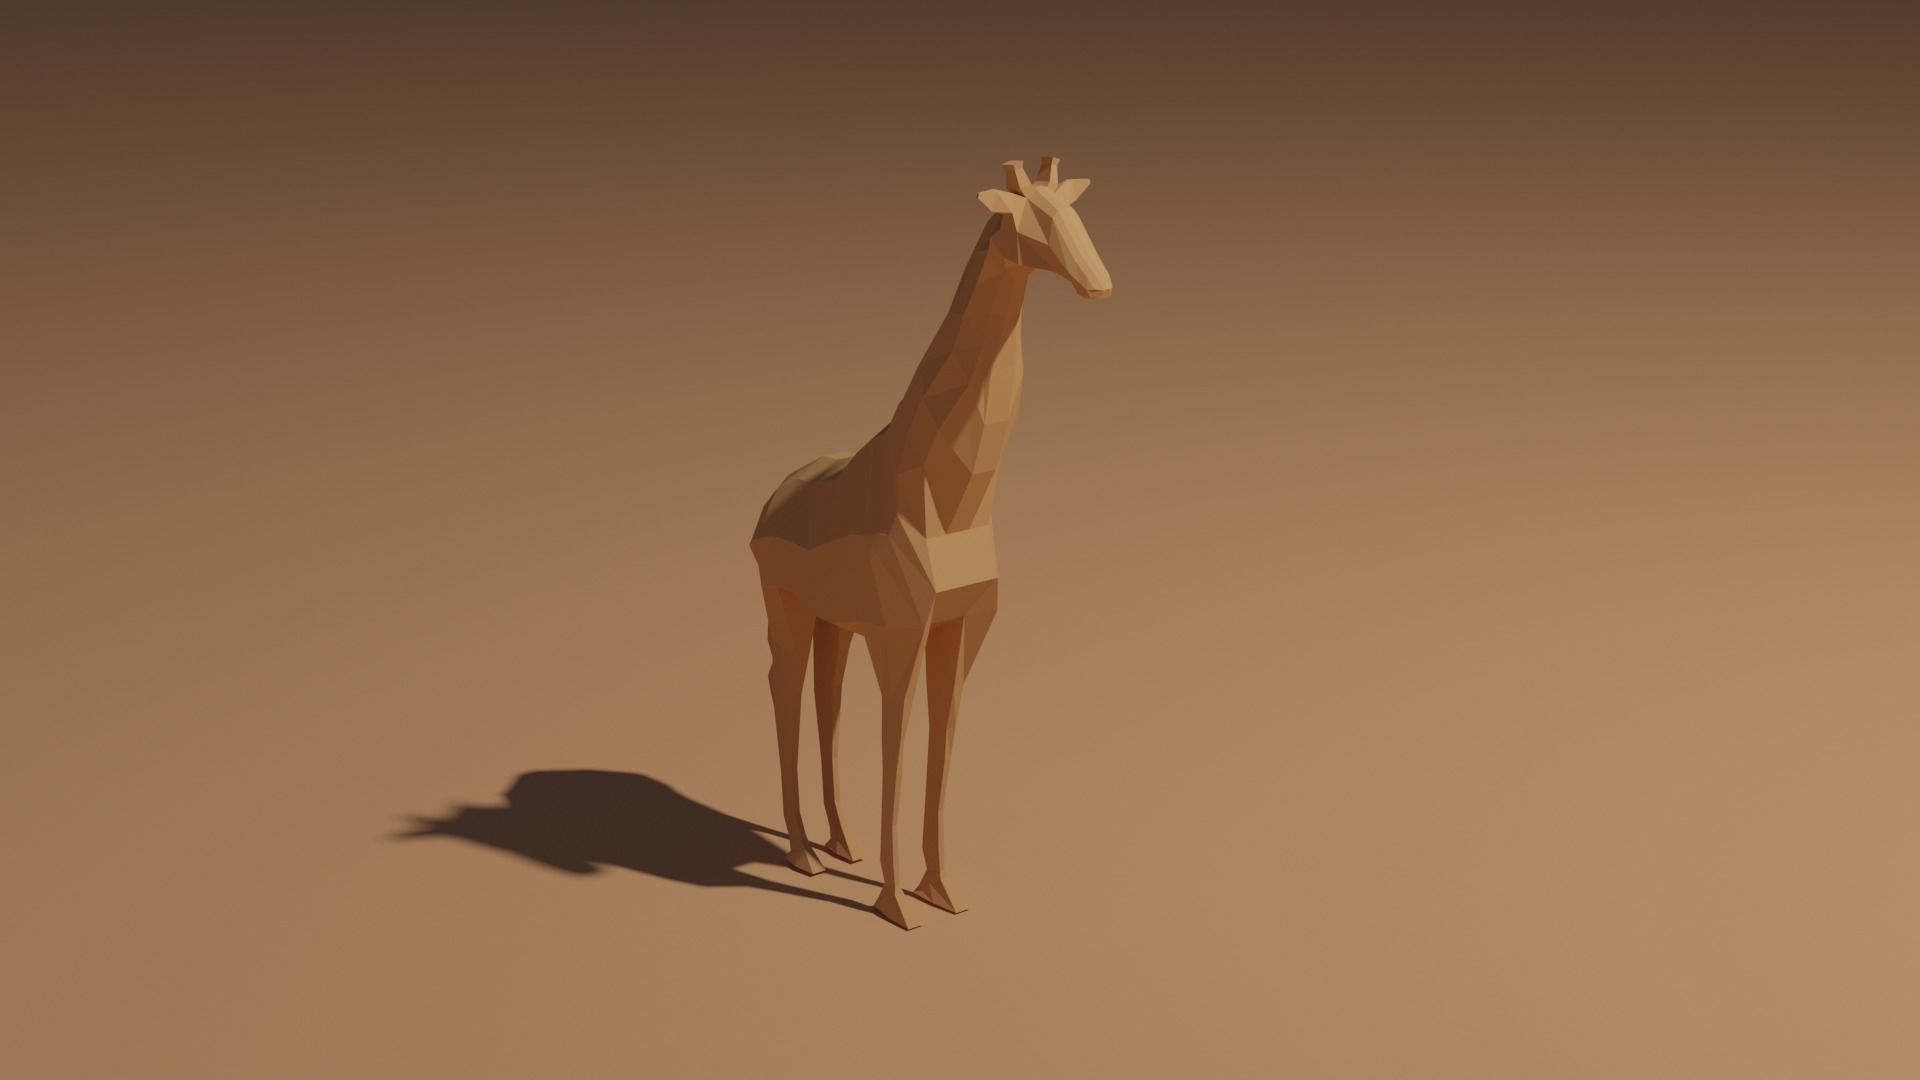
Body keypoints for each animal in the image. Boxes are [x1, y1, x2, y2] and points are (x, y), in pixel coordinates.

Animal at [749, 156, 1112, 930]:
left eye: (1074, 214)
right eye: (1029, 219)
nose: (1098, 281)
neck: (951, 505)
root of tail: (766, 507)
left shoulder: (958, 631)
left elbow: (938, 752)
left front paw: (940, 889)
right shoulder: (900, 634)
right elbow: (898, 744)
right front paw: (895, 904)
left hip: (834, 621)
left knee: (826, 701)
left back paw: (842, 841)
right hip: (785, 609)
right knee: (783, 691)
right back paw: (803, 852)